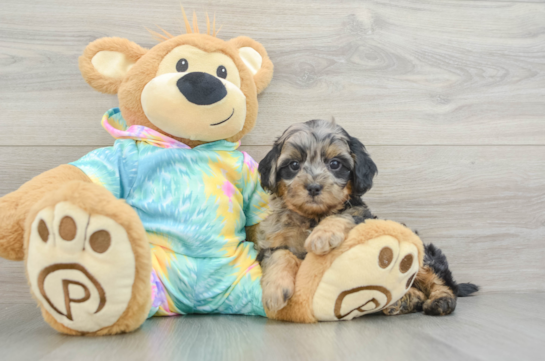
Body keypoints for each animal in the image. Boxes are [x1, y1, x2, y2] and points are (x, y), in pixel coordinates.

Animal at [252, 119, 476, 316]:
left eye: (335, 164)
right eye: (293, 165)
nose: (314, 187)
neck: (312, 217)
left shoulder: (362, 216)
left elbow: (344, 215)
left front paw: (322, 235)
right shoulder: (272, 240)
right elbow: (280, 254)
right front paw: (274, 291)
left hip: (423, 256)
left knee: (441, 282)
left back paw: (440, 301)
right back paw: (403, 301)